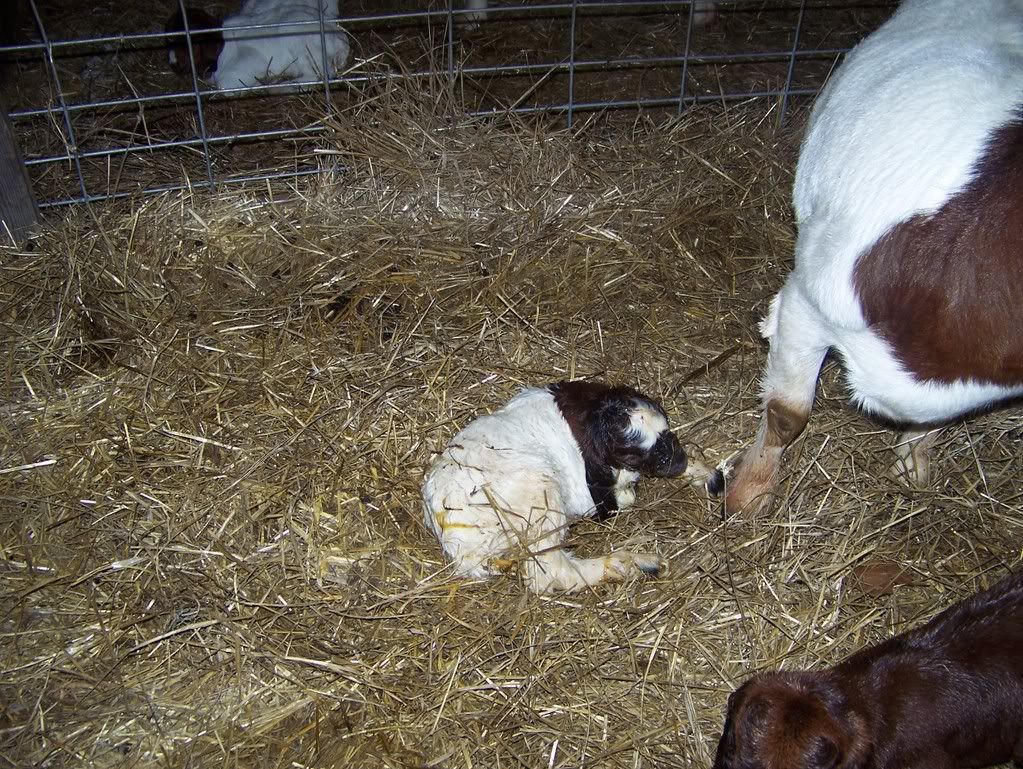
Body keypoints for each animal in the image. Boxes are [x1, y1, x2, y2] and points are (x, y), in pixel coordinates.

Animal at [421, 381, 688, 593]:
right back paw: (638, 563)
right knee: (552, 572)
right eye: (631, 454)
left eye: (667, 427)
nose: (678, 461)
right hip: (541, 499)